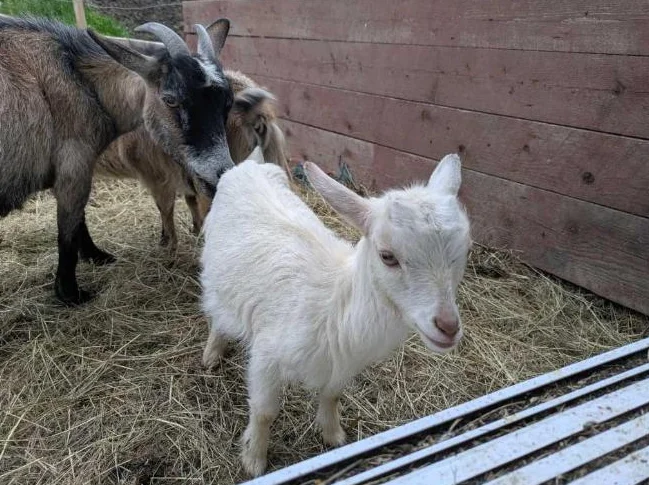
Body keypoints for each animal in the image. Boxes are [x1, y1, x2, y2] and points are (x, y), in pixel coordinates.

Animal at [0, 16, 234, 304]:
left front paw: (97, 257)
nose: (220, 176)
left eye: (227, 102)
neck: (81, 81)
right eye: (170, 100)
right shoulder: (74, 167)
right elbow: (69, 227)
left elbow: (79, 220)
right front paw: (71, 293)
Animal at [200, 149, 472, 476]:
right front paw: (254, 460)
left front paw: (333, 435)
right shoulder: (266, 355)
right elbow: (264, 411)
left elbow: (332, 394)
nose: (448, 326)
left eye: (466, 251)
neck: (334, 307)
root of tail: (247, 165)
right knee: (217, 310)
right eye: (387, 256)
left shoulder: (343, 363)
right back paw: (212, 353)